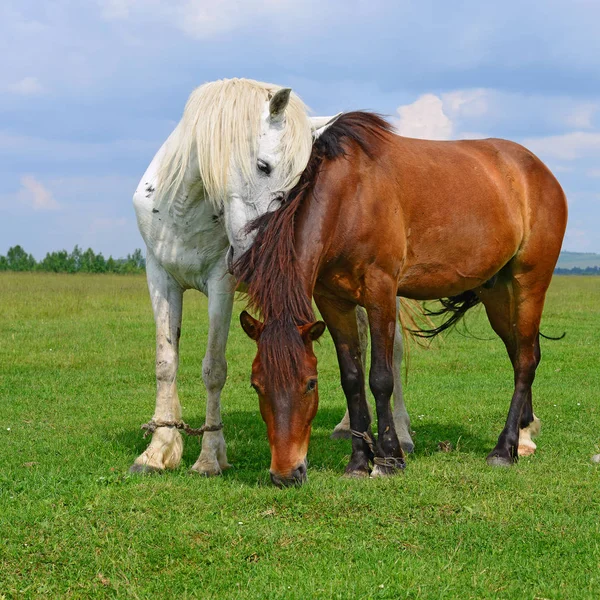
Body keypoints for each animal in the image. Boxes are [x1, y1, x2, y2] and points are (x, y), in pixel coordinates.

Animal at [131, 78, 412, 474]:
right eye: (263, 166)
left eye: (301, 180)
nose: (258, 256)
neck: (185, 207)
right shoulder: (159, 276)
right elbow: (165, 363)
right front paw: (158, 450)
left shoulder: (222, 283)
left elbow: (214, 368)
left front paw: (209, 458)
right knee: (357, 339)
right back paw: (346, 427)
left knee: (394, 349)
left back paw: (401, 434)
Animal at [234, 111, 568, 488]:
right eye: (256, 385)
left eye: (309, 384)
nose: (286, 474)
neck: (350, 197)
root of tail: (537, 170)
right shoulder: (332, 302)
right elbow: (352, 379)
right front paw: (358, 462)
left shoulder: (380, 291)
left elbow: (380, 378)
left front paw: (389, 458)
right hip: (497, 293)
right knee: (520, 352)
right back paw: (524, 436)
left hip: (530, 283)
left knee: (526, 359)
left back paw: (503, 449)